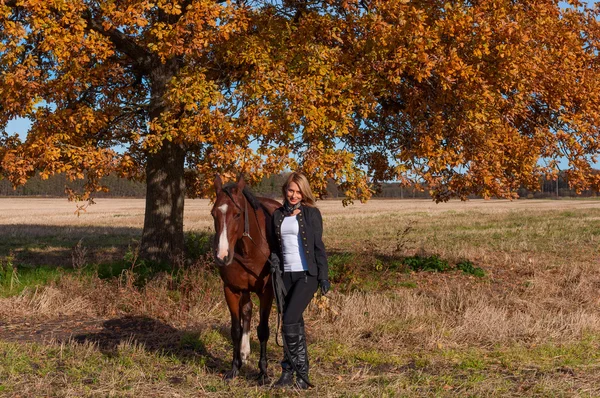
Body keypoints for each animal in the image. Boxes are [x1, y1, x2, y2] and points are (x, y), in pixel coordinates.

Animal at [211, 174, 282, 382]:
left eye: (237, 214)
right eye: (213, 213)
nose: (222, 256)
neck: (249, 250)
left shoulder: (267, 292)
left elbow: (264, 330)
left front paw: (263, 372)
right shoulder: (232, 290)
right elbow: (235, 329)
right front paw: (234, 367)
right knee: (247, 311)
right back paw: (244, 351)